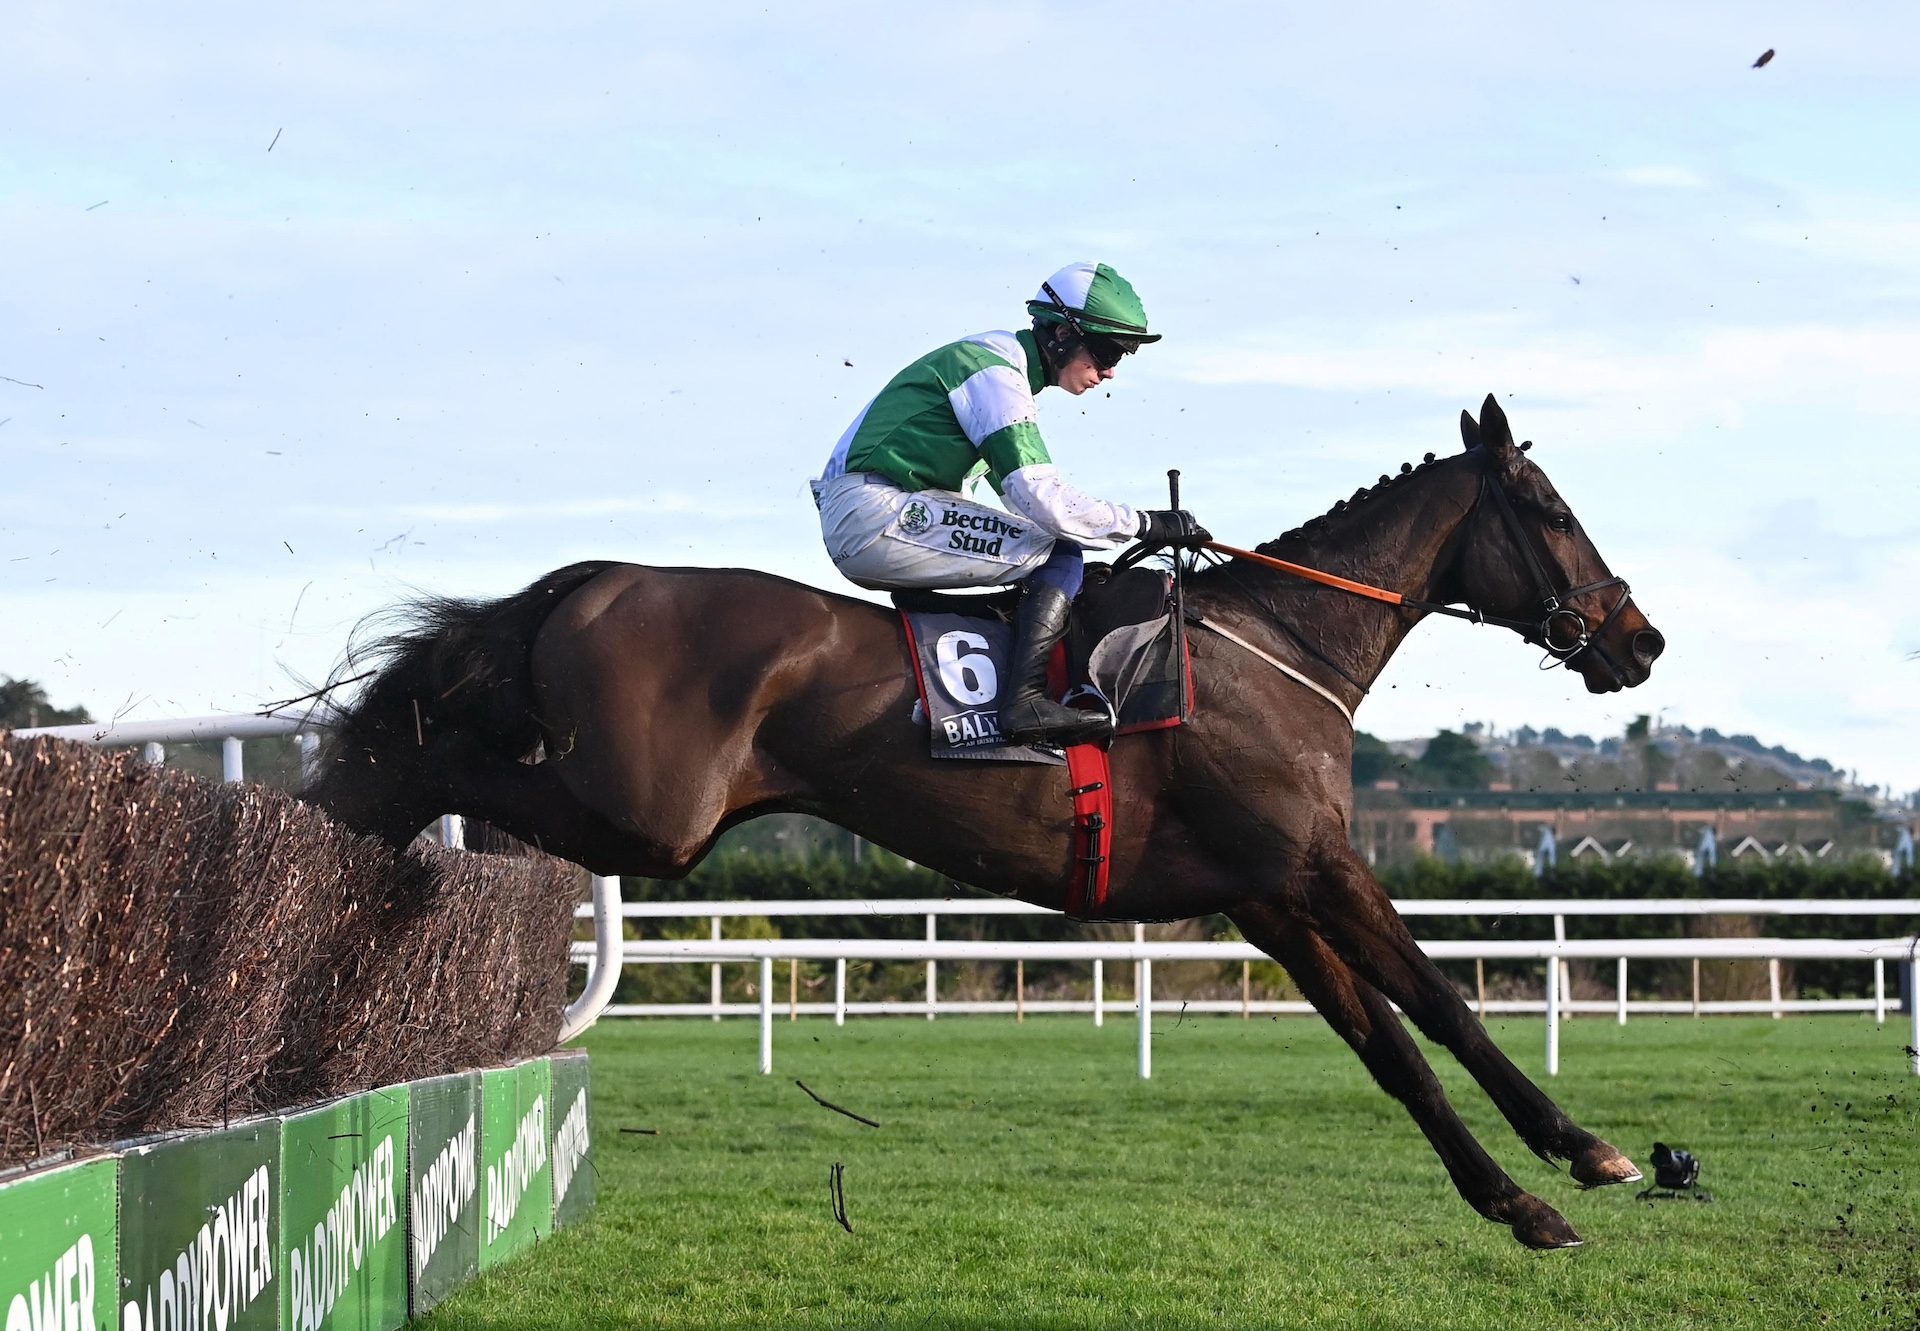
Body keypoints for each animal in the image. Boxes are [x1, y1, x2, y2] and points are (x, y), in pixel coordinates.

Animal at [303, 393, 1666, 1244]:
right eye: (1552, 511)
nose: (1641, 639)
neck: (1274, 651)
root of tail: (591, 579)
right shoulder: (1315, 866)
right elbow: (1441, 1006)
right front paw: (1592, 1149)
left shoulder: (1268, 893)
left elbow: (1393, 1050)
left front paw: (1524, 1199)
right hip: (646, 817)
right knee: (435, 758)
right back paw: (340, 835)